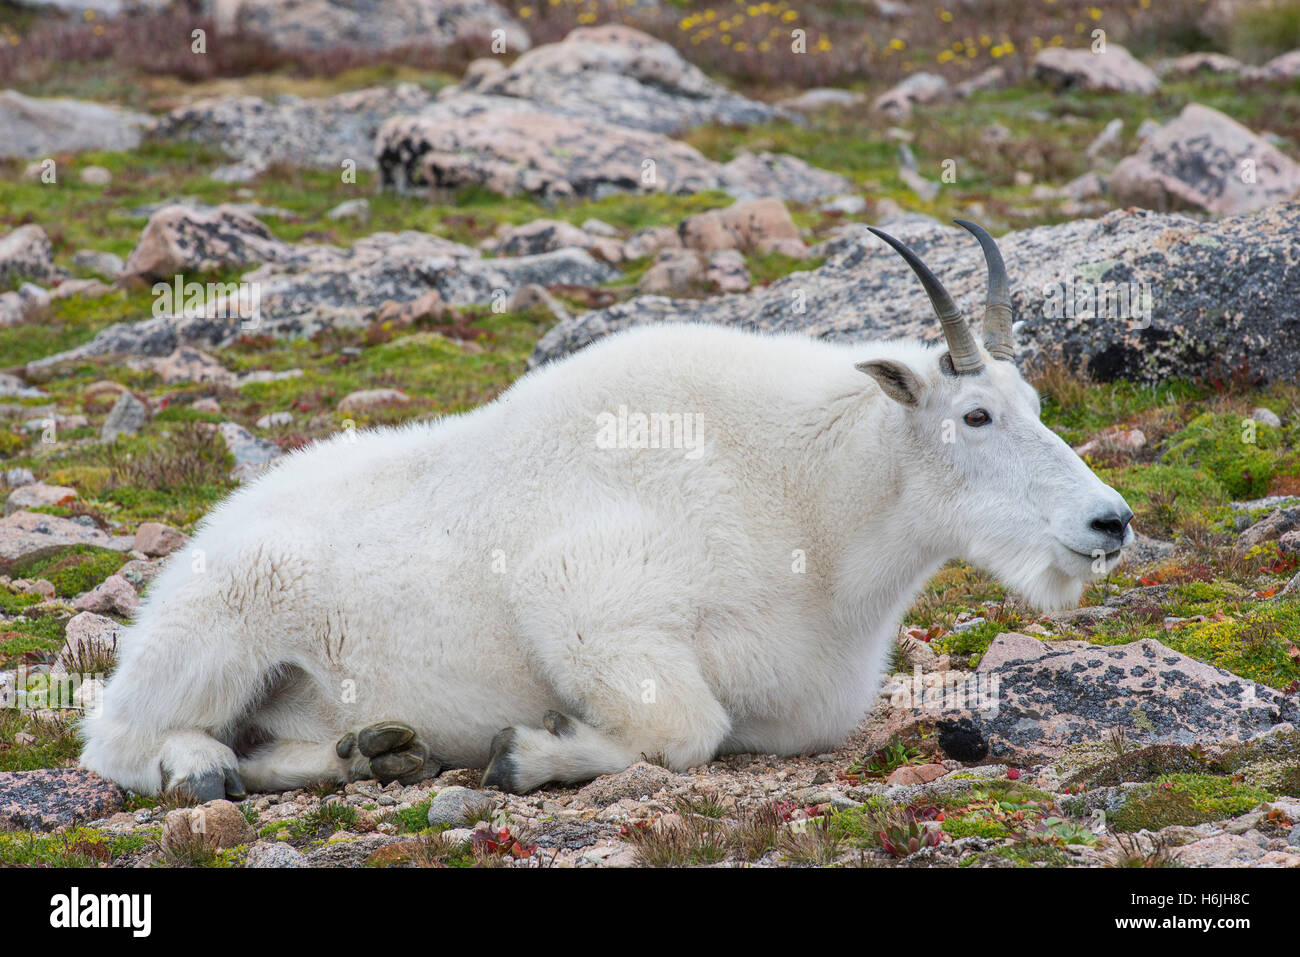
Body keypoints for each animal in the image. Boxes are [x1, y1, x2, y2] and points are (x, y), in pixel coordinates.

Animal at [81, 221, 1133, 795]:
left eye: (1037, 402)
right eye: (976, 414)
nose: (1108, 522)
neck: (811, 508)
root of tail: (215, 528)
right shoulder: (589, 604)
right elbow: (686, 729)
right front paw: (524, 750)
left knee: (270, 741)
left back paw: (374, 752)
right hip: (219, 630)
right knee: (123, 738)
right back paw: (207, 765)